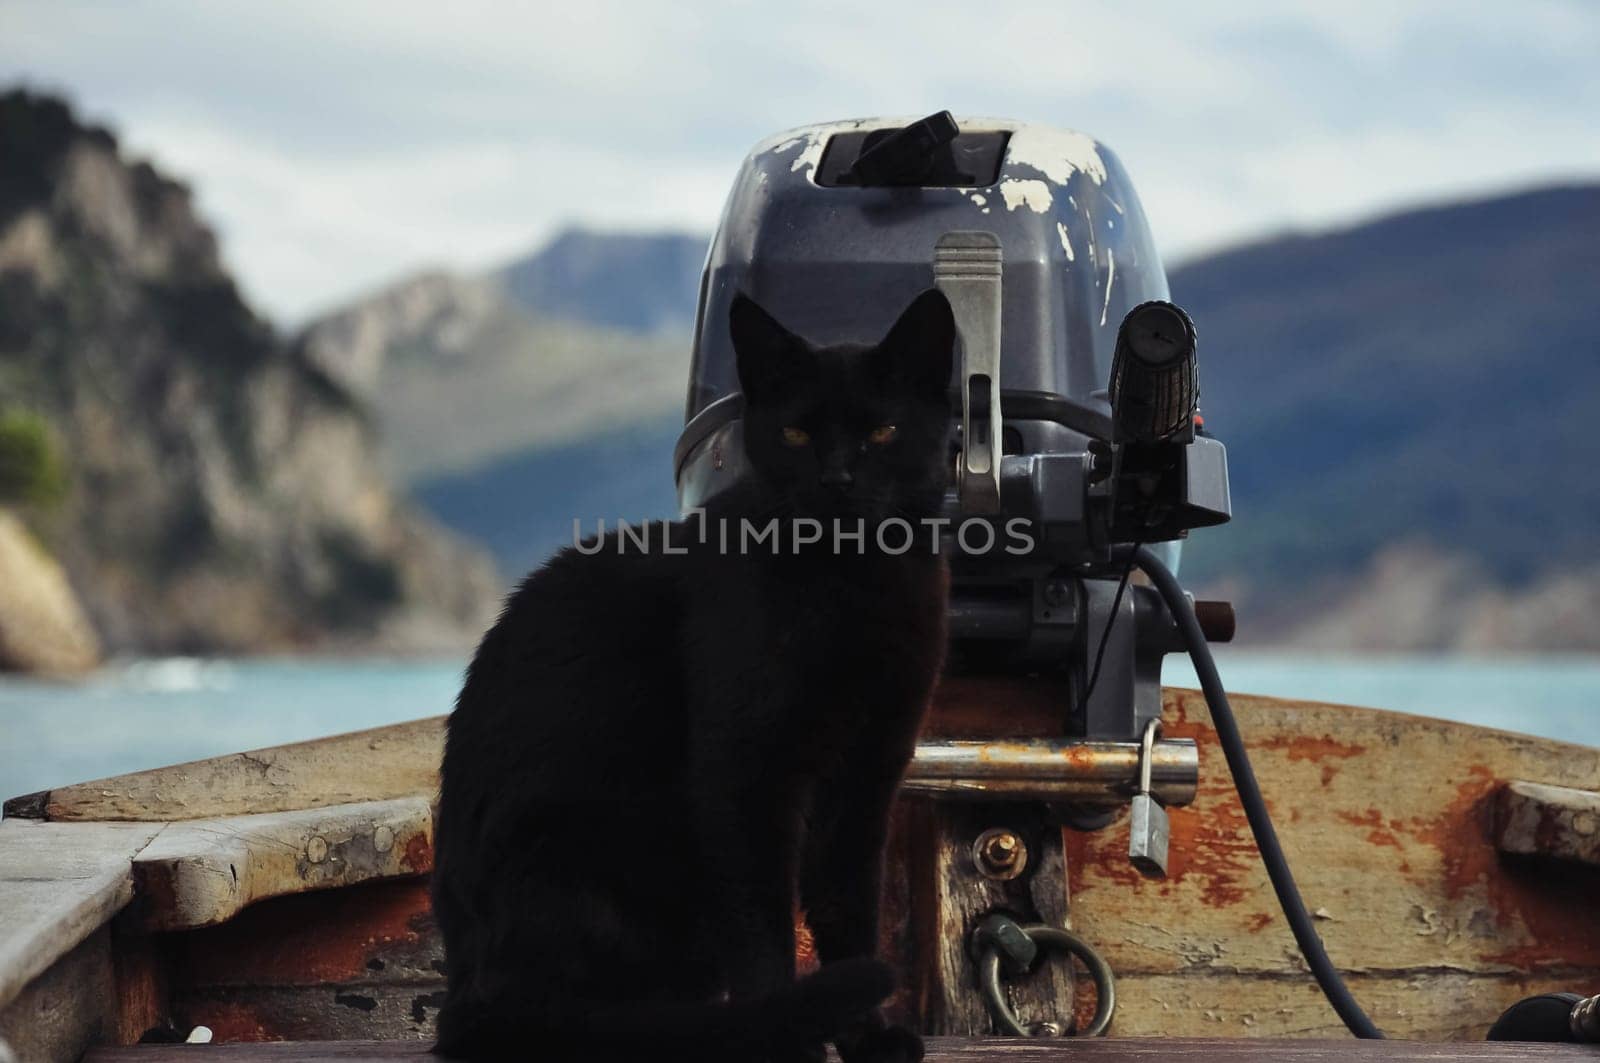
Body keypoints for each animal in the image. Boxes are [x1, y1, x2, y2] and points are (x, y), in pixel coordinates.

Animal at [432, 286, 953, 1056]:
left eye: (885, 432)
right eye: (796, 434)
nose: (836, 479)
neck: (851, 589)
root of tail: (464, 994)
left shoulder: (866, 775)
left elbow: (848, 912)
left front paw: (865, 1037)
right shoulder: (744, 773)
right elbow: (765, 930)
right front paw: (789, 1034)